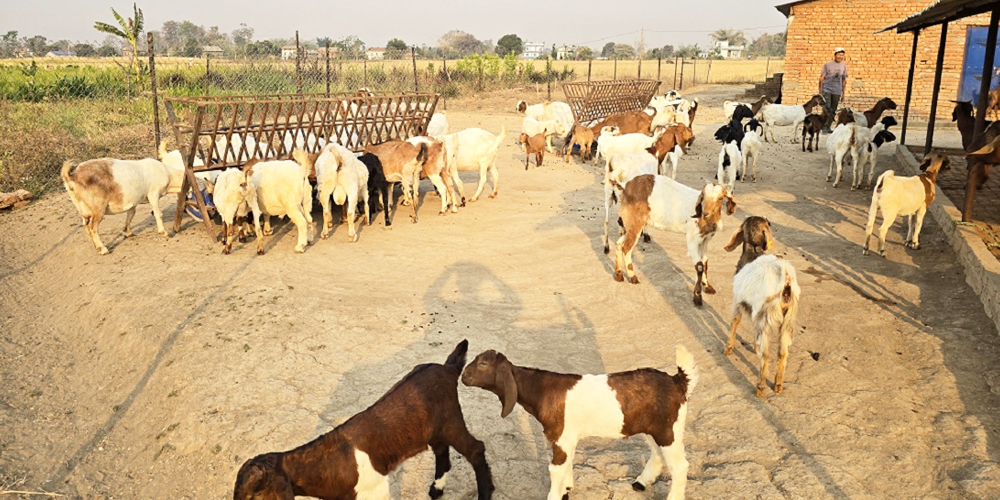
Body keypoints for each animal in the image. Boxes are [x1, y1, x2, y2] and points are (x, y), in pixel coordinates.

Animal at [234, 340, 494, 500]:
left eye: (254, 494)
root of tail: (448, 368)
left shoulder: (375, 489)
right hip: (432, 428)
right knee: (441, 451)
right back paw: (436, 490)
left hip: (451, 419)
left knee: (474, 449)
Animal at [461, 345, 697, 500]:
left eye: (482, 363)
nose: (463, 376)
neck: (542, 390)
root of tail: (678, 381)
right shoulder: (567, 438)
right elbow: (567, 463)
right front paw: (567, 489)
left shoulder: (561, 437)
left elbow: (555, 468)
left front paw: (557, 494)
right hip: (652, 428)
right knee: (657, 454)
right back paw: (640, 483)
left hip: (668, 429)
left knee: (680, 466)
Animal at [615, 176, 736, 306]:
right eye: (703, 196)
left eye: (720, 198)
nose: (705, 213)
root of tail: (626, 186)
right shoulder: (692, 239)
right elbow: (699, 266)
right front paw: (697, 297)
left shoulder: (705, 240)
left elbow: (705, 262)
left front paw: (708, 287)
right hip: (635, 222)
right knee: (626, 247)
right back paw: (632, 277)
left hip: (627, 222)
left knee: (618, 244)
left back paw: (618, 274)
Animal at [723, 216, 801, 397]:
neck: (753, 252)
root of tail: (785, 277)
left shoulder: (737, 300)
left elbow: (734, 322)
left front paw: (728, 349)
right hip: (789, 319)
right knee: (783, 352)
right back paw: (778, 385)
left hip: (763, 319)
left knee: (765, 355)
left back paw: (760, 387)